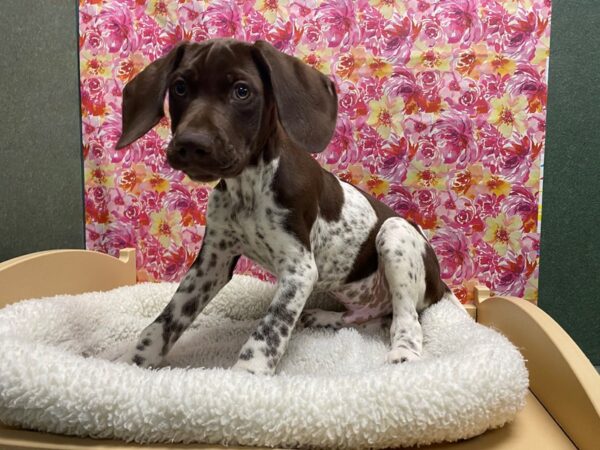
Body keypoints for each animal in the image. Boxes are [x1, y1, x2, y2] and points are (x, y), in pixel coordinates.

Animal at [115, 39, 454, 376]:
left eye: (241, 91)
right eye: (180, 87)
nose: (192, 143)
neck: (248, 188)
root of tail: (442, 286)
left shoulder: (299, 269)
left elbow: (269, 330)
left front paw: (247, 374)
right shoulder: (212, 263)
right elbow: (166, 320)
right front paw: (132, 362)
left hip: (395, 233)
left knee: (406, 319)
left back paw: (404, 353)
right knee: (368, 317)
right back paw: (325, 317)